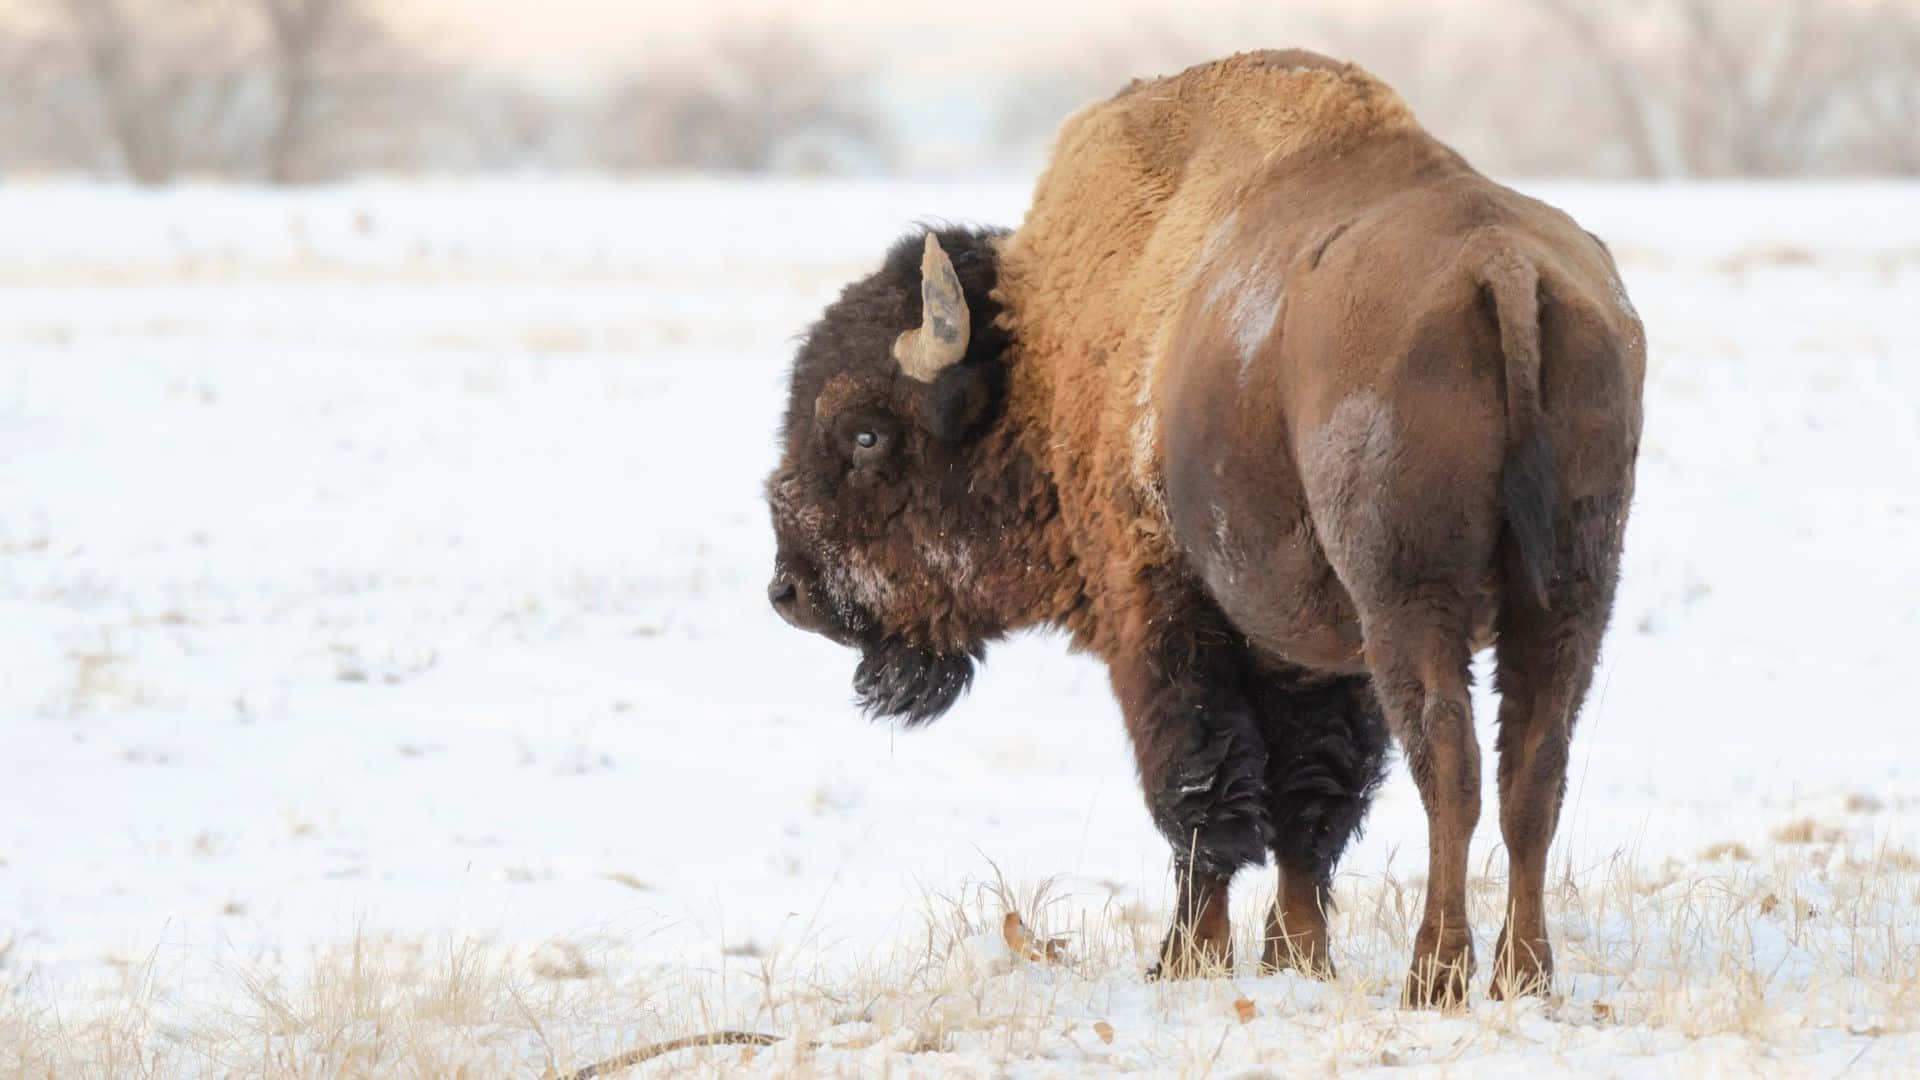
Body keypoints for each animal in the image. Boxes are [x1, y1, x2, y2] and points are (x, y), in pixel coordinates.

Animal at [764, 50, 1651, 1006]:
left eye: (865, 433)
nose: (790, 590)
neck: (1043, 351)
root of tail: (1503, 265)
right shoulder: (1310, 651)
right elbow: (1309, 802)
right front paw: (1296, 954)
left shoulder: (1162, 618)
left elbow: (1200, 791)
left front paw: (1187, 958)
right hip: (1569, 593)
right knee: (1534, 767)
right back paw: (1523, 972)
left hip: (1412, 598)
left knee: (1450, 762)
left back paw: (1436, 973)